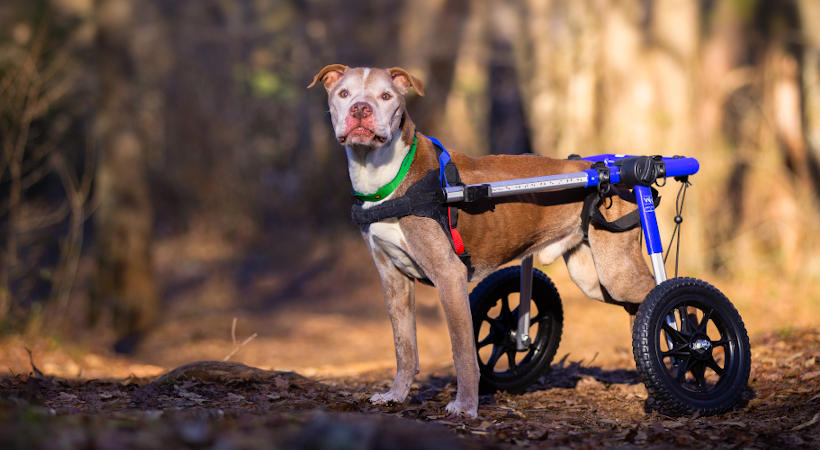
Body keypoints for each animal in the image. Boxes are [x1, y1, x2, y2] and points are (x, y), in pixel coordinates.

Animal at [308, 65, 652, 416]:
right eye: (344, 94)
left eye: (386, 96)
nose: (360, 110)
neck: (387, 177)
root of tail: (606, 168)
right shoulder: (394, 279)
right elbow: (404, 348)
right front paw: (396, 395)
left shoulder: (449, 275)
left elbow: (463, 352)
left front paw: (465, 407)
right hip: (591, 277)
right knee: (635, 305)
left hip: (617, 269)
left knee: (658, 294)